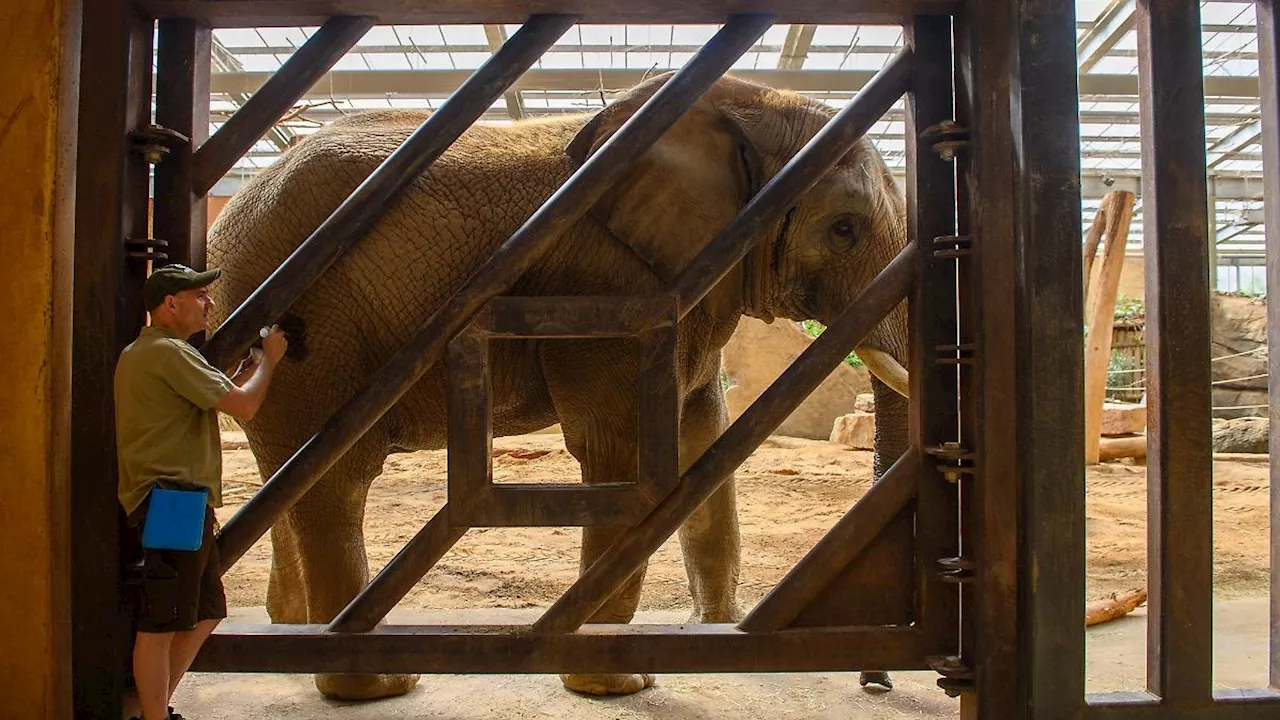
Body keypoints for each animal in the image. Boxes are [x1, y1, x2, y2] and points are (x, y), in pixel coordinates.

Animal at [209, 70, 911, 696]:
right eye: (844, 229)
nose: (876, 682)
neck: (749, 100)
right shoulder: (611, 292)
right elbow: (625, 455)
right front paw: (620, 683)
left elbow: (702, 438)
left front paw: (712, 635)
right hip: (312, 322)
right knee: (337, 477)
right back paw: (377, 683)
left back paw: (288, 636)